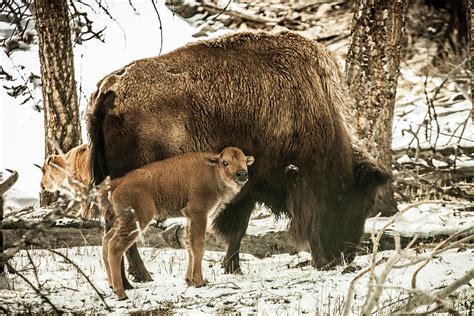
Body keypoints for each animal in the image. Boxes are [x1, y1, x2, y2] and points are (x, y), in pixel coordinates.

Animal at [102, 147, 254, 300]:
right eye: (225, 162)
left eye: (244, 160)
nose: (242, 174)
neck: (213, 171)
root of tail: (120, 181)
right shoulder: (199, 214)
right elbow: (198, 246)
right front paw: (199, 281)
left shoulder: (189, 218)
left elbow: (189, 245)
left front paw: (189, 280)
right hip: (137, 220)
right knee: (115, 247)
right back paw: (121, 293)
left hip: (121, 221)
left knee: (106, 239)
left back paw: (111, 286)